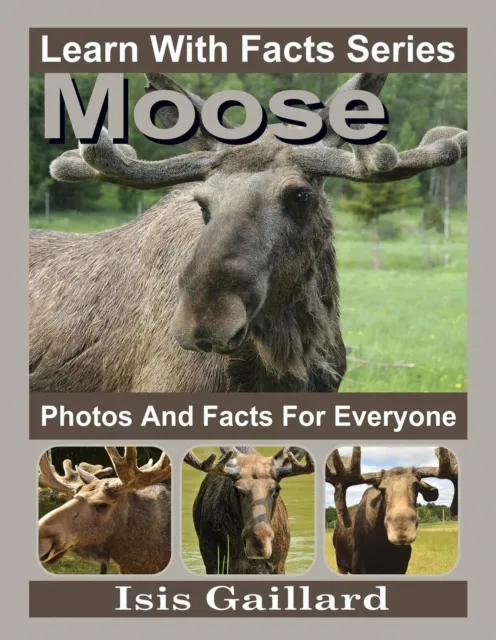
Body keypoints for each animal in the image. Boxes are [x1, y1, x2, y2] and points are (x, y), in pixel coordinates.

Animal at [325, 447, 459, 574]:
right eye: (382, 489)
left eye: (416, 486)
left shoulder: (401, 567)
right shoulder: (358, 565)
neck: (384, 548)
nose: (401, 531)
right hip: (340, 564)